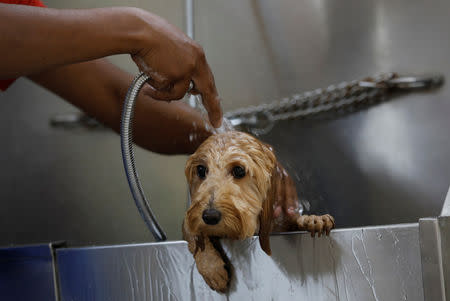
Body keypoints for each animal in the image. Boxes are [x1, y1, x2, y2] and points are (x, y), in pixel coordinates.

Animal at [183, 131, 334, 290]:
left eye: (239, 170)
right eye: (200, 169)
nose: (210, 216)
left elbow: (294, 222)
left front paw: (313, 219)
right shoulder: (189, 219)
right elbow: (192, 232)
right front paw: (212, 268)